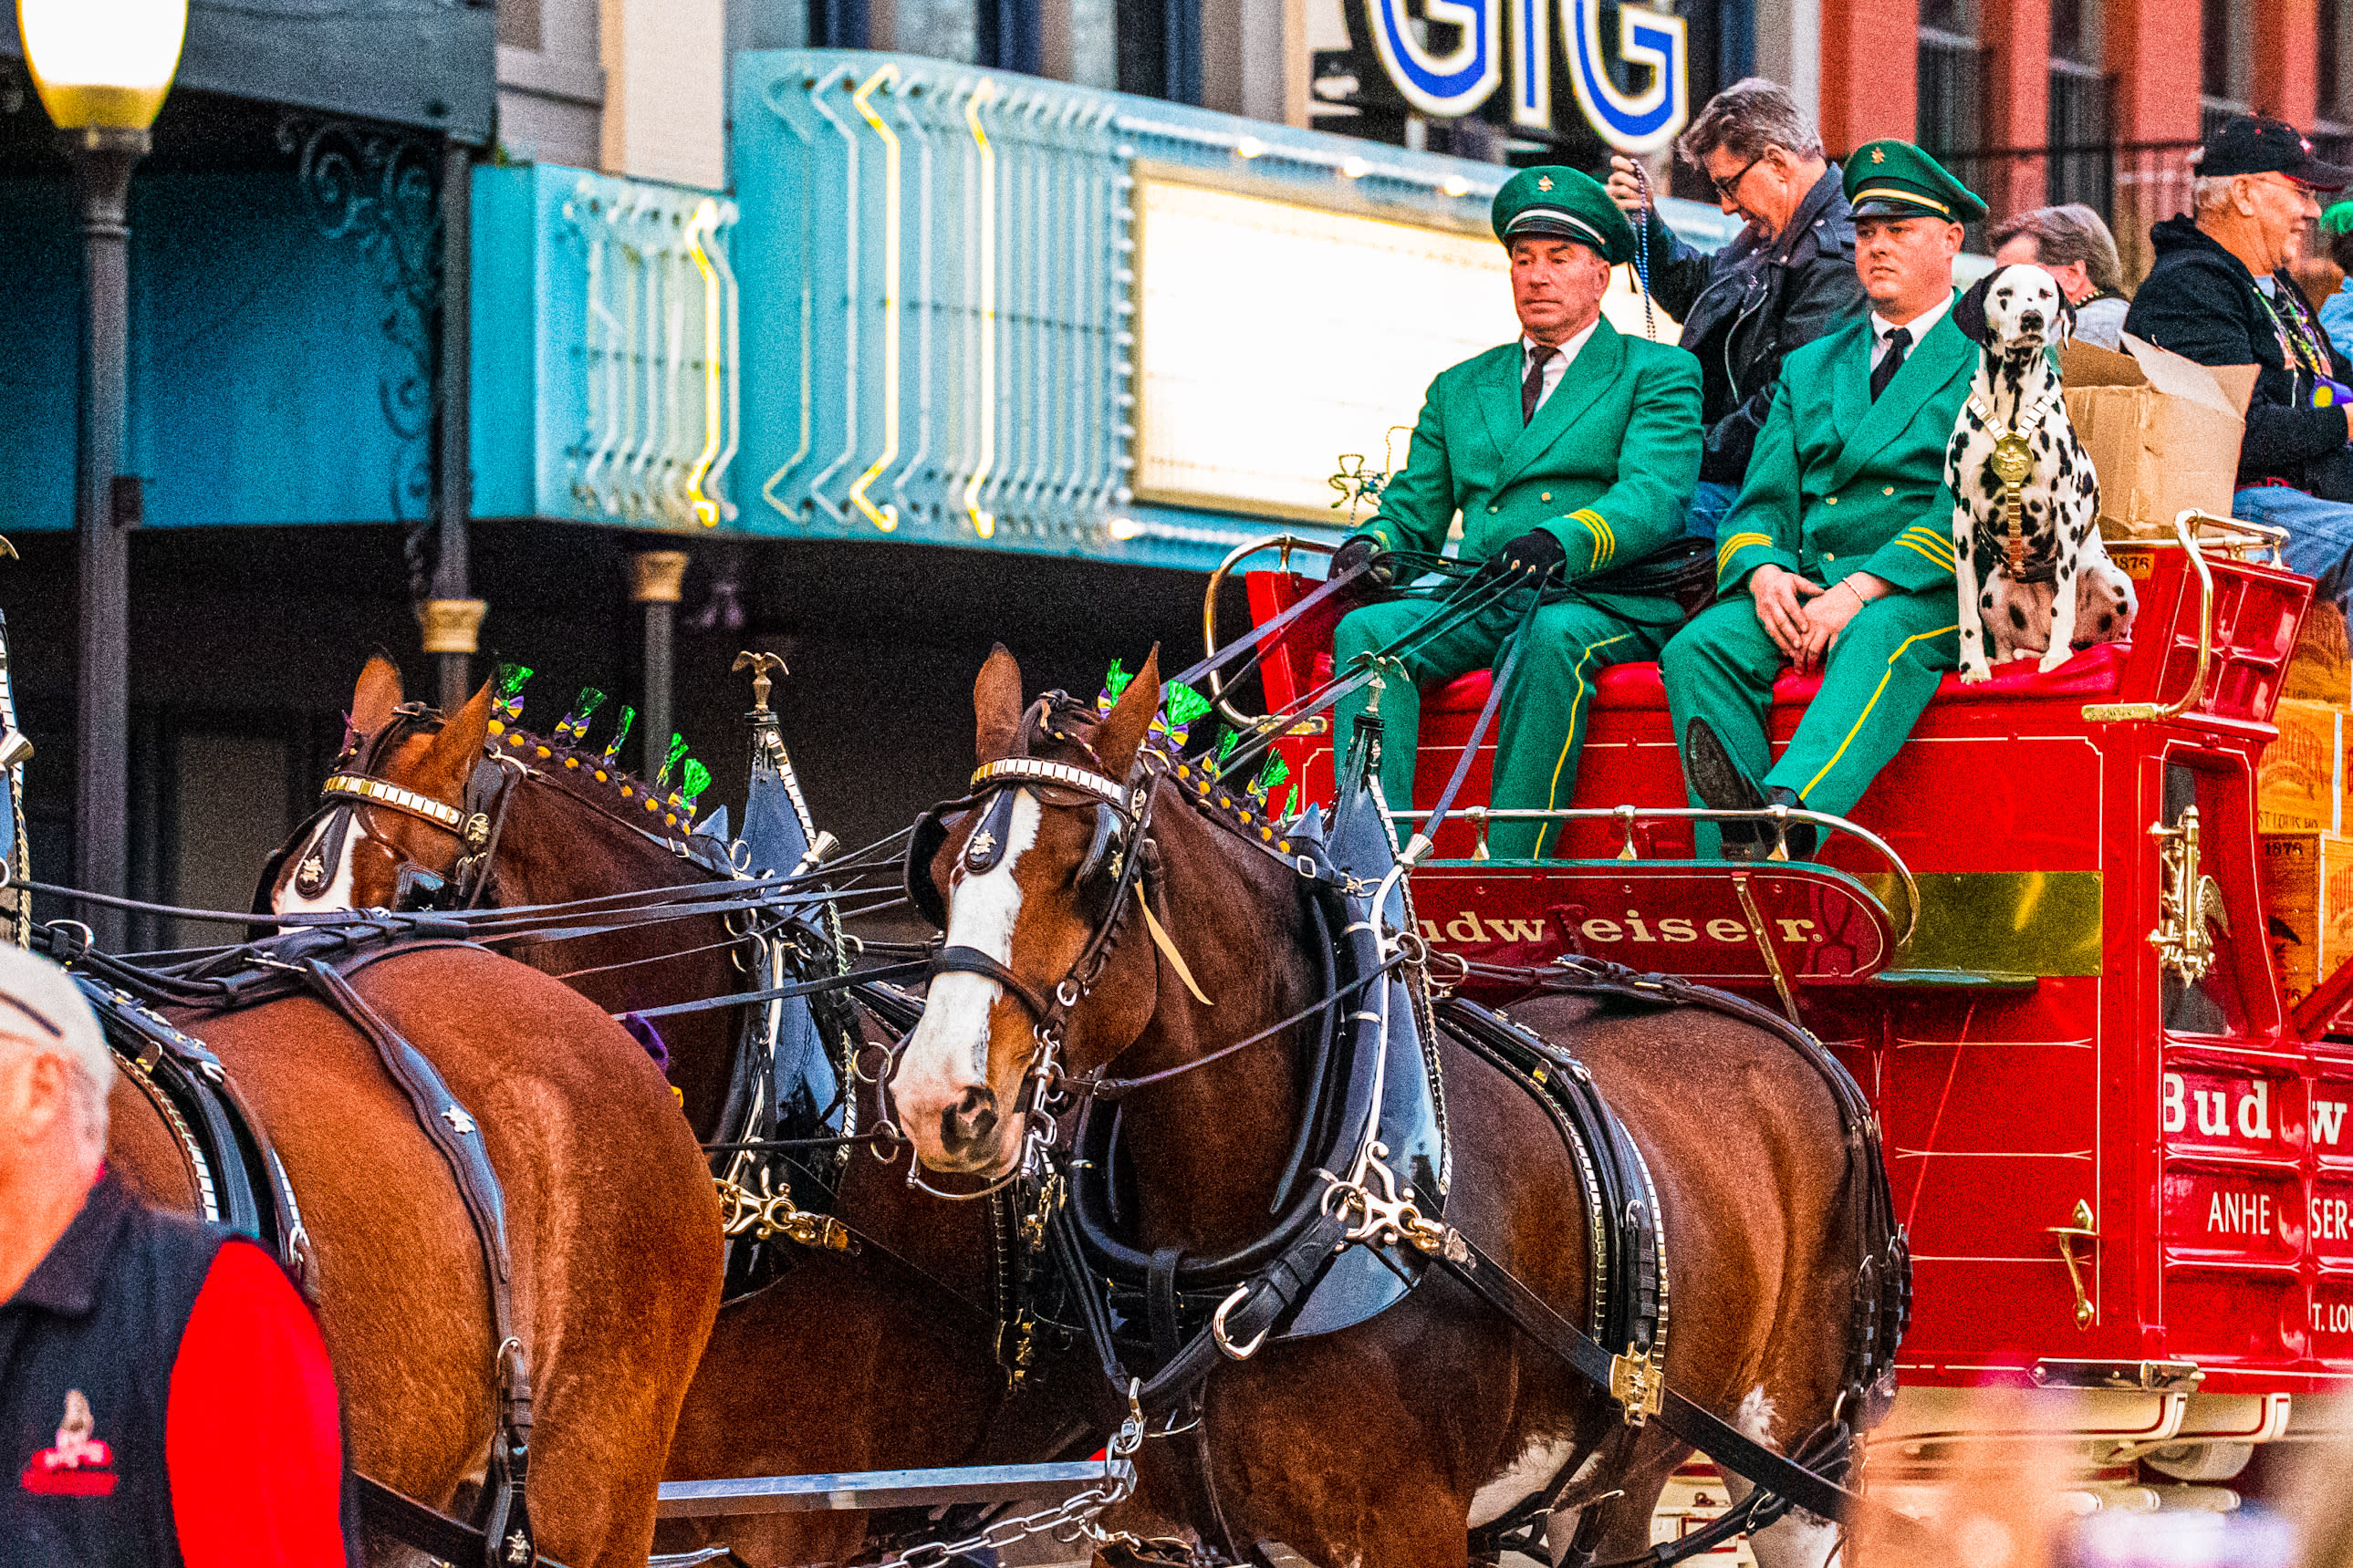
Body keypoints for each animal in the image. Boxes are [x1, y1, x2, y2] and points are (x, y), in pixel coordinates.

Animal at [884, 649, 1891, 1568]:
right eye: (941, 865)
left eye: (1092, 873)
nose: (935, 1097)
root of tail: (1799, 1044)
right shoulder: (1172, 1535)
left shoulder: (1412, 1527)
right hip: (1619, 1468)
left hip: (1797, 1457)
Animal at [1948, 263, 2136, 681]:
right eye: (2004, 293)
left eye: (2045, 293)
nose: (2031, 317)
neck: (2012, 408)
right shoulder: (1963, 520)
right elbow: (1965, 612)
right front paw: (1973, 666)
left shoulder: (2065, 512)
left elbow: (2062, 599)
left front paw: (2058, 659)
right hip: (1993, 592)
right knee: (2007, 644)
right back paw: (2009, 658)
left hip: (2115, 583)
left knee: (2110, 636)